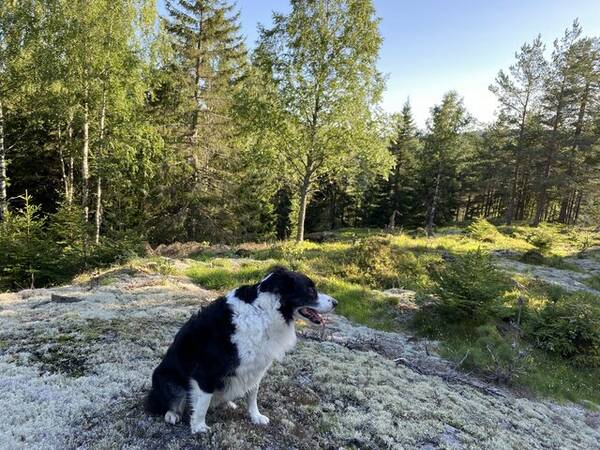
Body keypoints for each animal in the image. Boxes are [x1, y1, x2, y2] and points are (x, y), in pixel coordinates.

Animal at [146, 268, 338, 432]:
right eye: (310, 290)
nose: (336, 302)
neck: (263, 312)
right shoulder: (206, 370)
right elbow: (202, 402)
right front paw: (199, 426)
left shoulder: (255, 367)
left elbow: (252, 394)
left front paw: (256, 416)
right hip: (168, 380)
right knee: (168, 402)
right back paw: (172, 414)